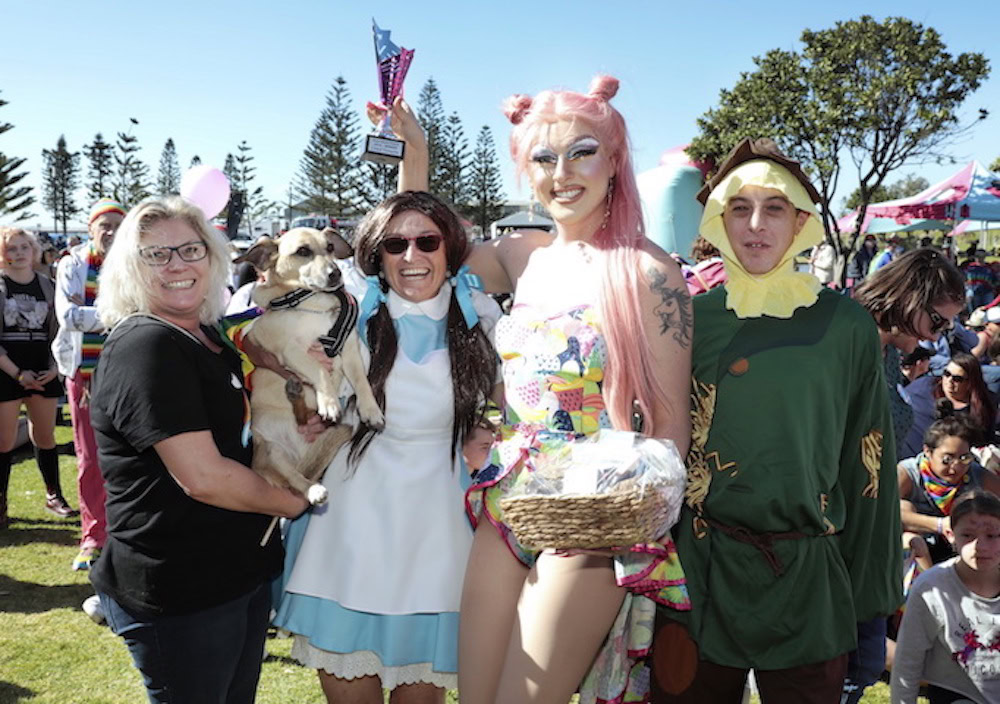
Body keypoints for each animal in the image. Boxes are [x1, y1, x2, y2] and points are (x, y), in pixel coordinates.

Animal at [236, 228, 384, 508]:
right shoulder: (292, 352)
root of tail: (300, 456)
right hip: (270, 451)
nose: (335, 273)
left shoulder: (349, 349)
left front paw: (371, 410)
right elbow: (320, 372)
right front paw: (330, 402)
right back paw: (312, 490)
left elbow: (361, 380)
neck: (313, 302)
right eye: (303, 251)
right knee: (294, 480)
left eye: (329, 247)